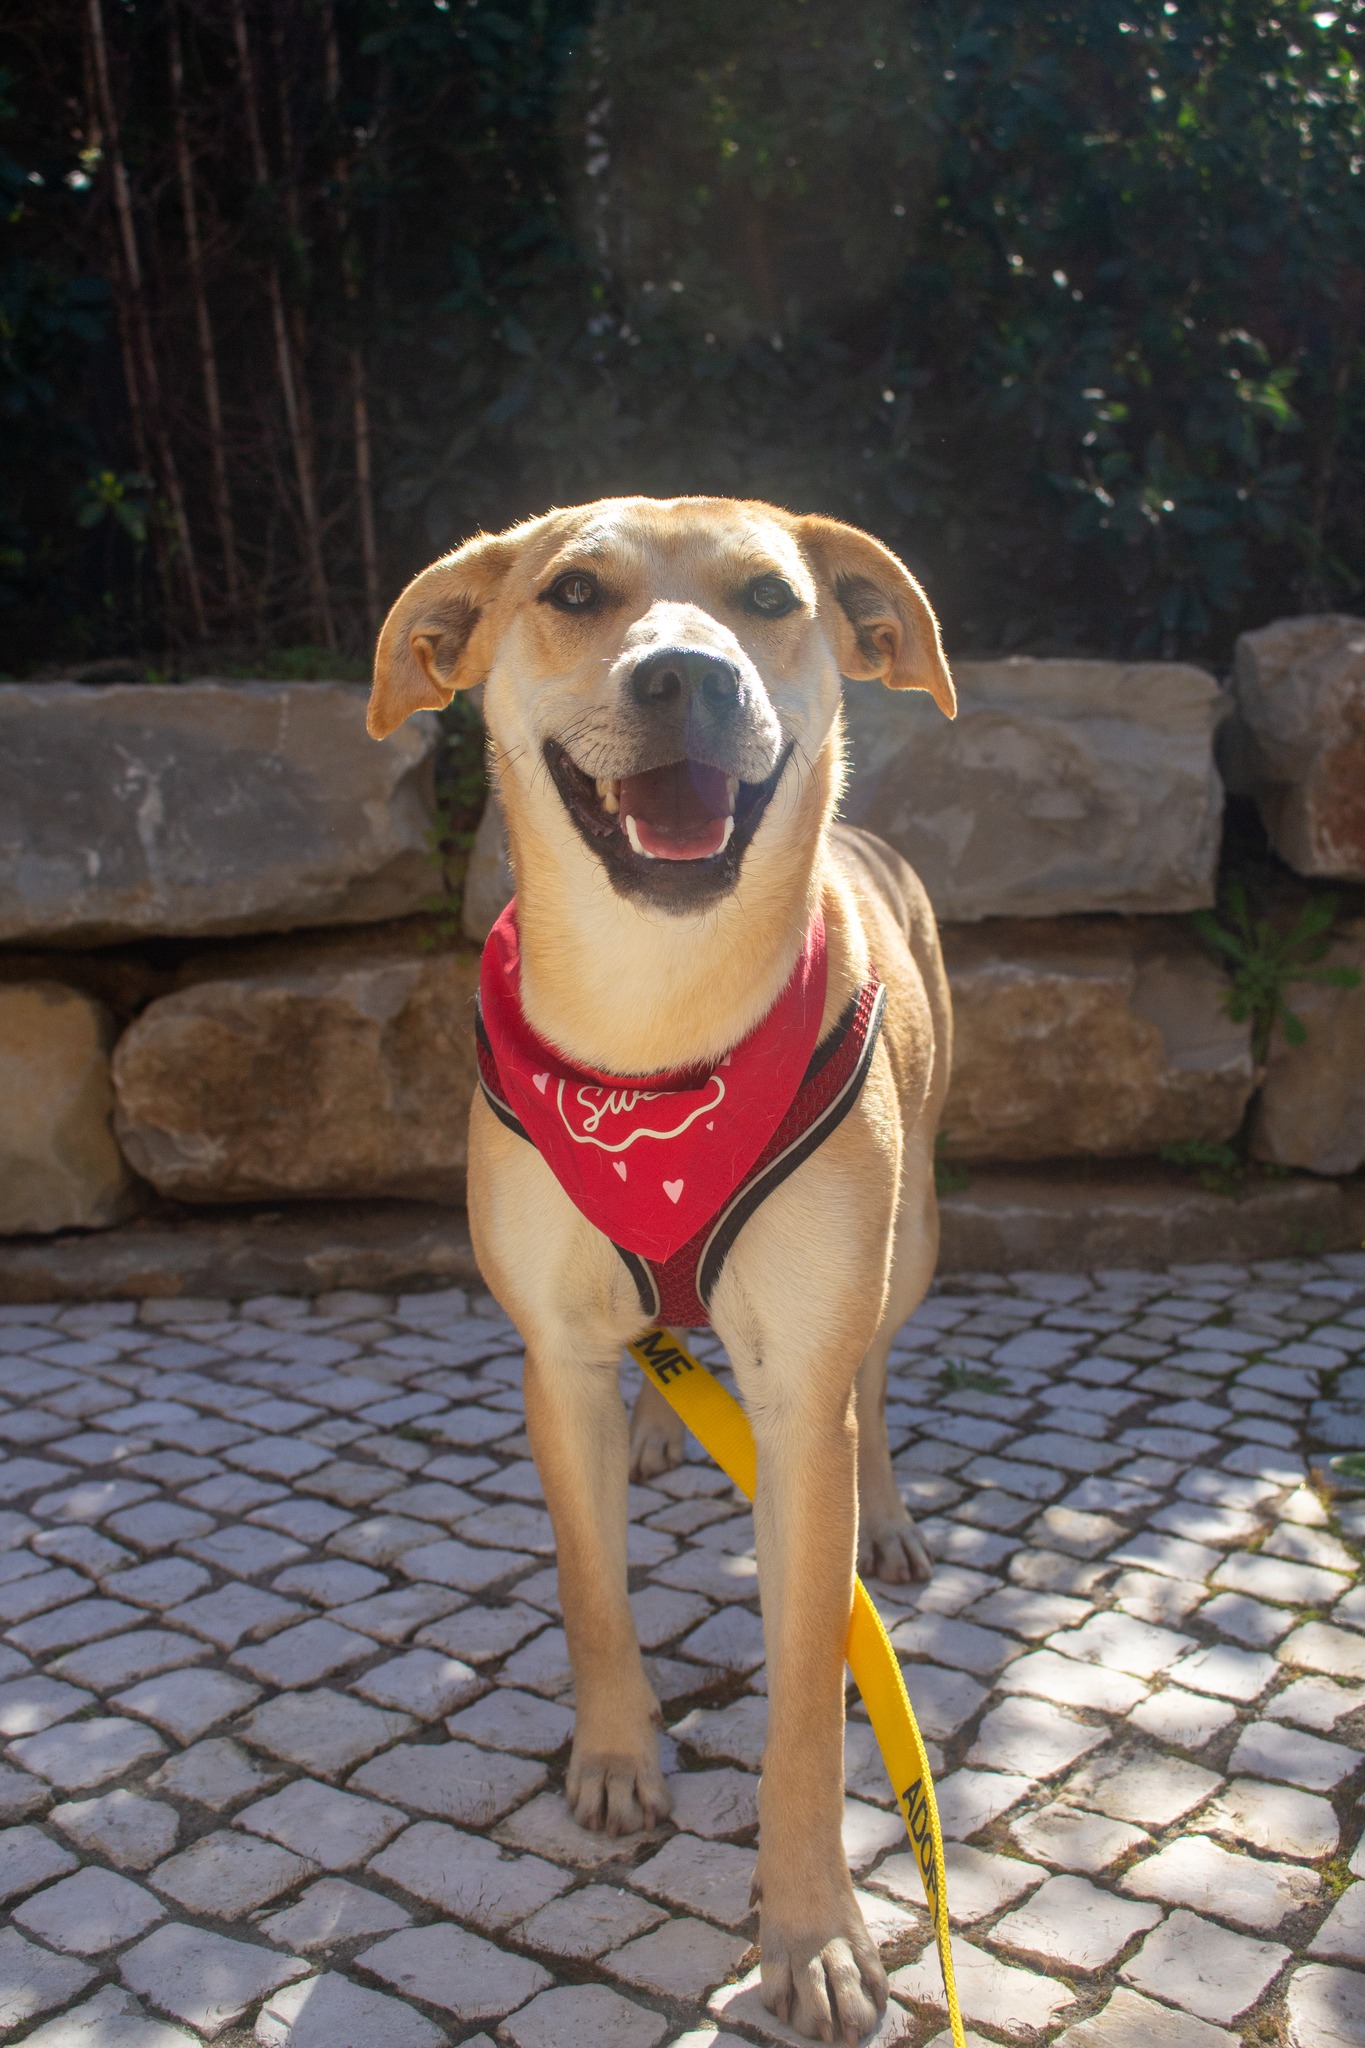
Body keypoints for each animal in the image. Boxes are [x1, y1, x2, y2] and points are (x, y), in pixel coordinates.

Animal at [368, 496, 954, 2045]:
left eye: (769, 596)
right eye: (575, 591)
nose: (683, 673)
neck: (654, 1030)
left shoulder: (801, 1392)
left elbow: (808, 1702)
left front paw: (810, 1931)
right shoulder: (552, 1356)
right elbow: (592, 1588)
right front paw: (620, 1755)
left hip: (912, 1240)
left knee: (881, 1376)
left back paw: (887, 1513)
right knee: (656, 1356)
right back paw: (657, 1428)